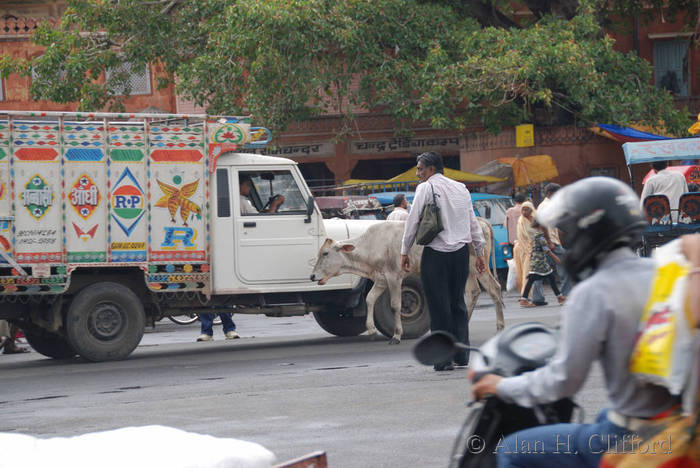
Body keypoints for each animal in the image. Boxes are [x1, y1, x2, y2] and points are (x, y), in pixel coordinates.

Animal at [310, 218, 504, 344]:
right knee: (473, 292)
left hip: (479, 266)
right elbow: (370, 299)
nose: (312, 276)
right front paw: (371, 329)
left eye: (325, 253)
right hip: (469, 270)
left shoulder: (394, 276)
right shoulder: (380, 279)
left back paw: (500, 327)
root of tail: (481, 221)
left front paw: (396, 335)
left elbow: (396, 305)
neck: (371, 245)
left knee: (494, 288)